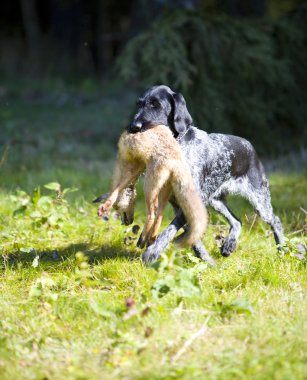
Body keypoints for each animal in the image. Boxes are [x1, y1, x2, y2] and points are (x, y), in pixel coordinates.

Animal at [123, 84, 286, 262]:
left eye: (156, 105)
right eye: (139, 104)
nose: (133, 127)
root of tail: (250, 146)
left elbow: (168, 231)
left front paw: (152, 252)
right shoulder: (178, 204)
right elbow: (192, 237)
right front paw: (207, 260)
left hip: (259, 201)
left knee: (276, 221)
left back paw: (282, 249)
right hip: (216, 201)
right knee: (237, 221)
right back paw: (229, 245)